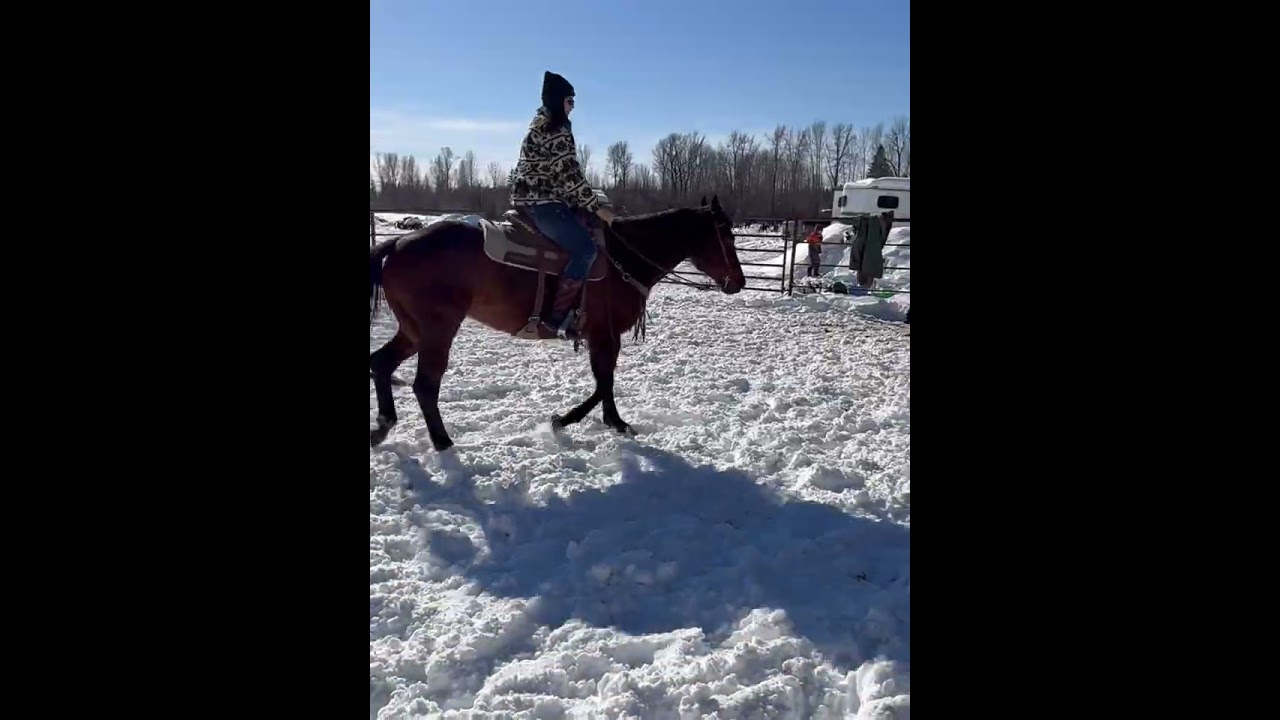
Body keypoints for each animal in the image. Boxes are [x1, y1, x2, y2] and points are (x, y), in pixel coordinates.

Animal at [368, 194, 747, 452]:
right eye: (727, 236)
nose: (739, 282)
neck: (621, 259)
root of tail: (400, 243)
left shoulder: (601, 337)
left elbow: (604, 381)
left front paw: (604, 421)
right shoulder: (605, 335)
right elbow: (605, 382)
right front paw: (572, 421)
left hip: (413, 331)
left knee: (381, 363)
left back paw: (383, 427)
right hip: (438, 331)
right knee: (424, 385)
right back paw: (442, 441)